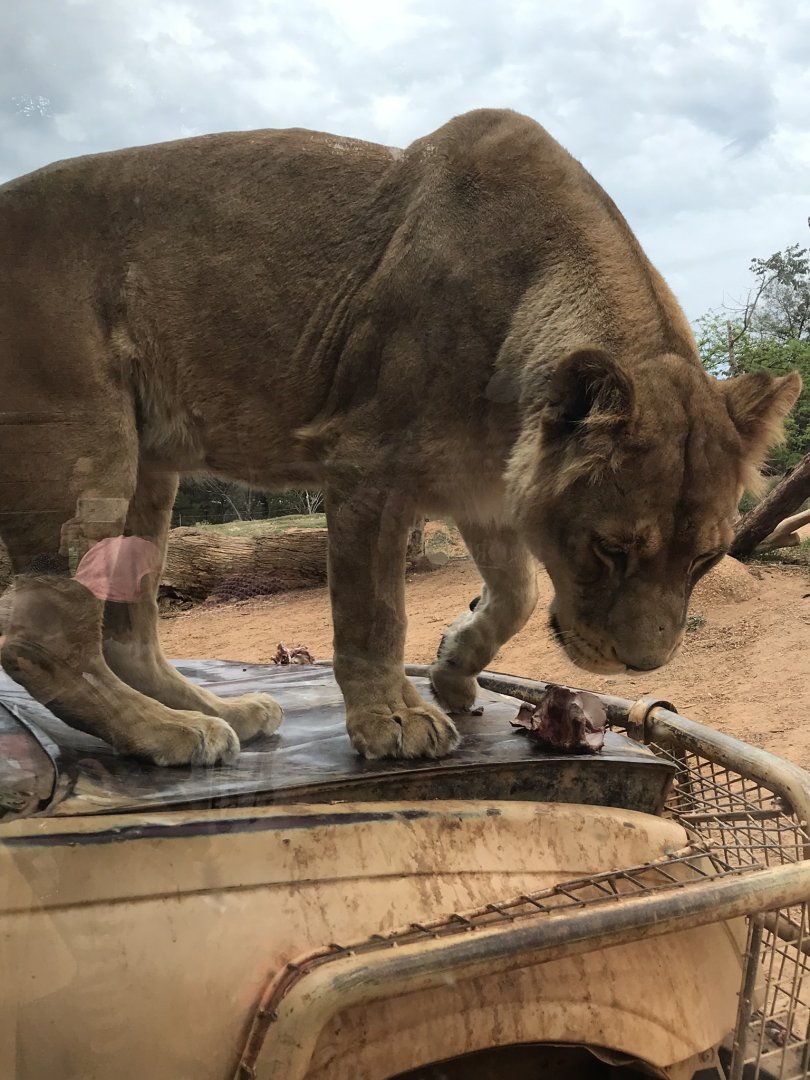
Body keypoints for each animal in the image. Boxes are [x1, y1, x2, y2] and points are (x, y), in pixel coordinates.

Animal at [0, 108, 800, 766]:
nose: (641, 668)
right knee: (39, 636)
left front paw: (453, 667)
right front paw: (392, 720)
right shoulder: (367, 468)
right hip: (83, 439)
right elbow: (373, 615)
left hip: (150, 468)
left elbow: (515, 591)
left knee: (125, 630)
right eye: (611, 549)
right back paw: (171, 732)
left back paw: (220, 712)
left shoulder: (485, 487)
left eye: (707, 559)